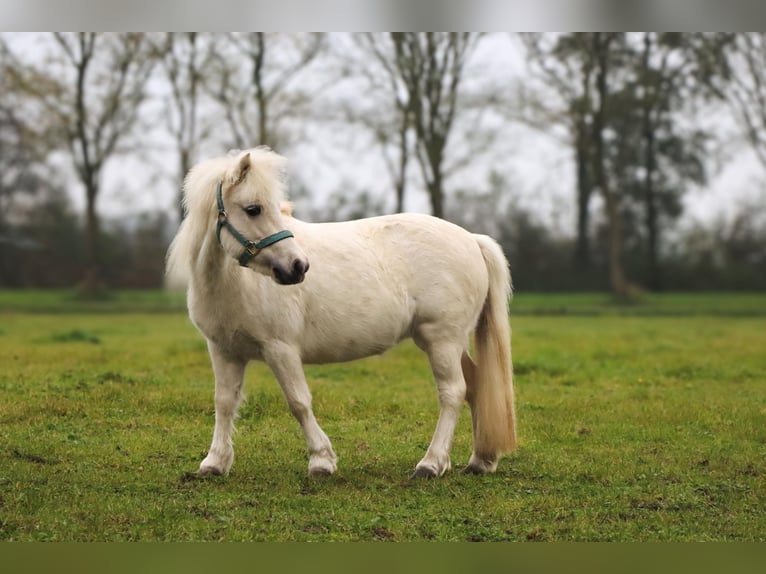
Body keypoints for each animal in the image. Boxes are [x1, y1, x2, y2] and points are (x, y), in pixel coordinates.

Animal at [166, 148, 520, 482]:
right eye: (253, 209)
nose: (298, 267)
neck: (236, 283)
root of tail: (472, 239)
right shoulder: (224, 350)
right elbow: (224, 402)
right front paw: (214, 463)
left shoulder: (280, 349)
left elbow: (298, 402)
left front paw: (321, 461)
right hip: (452, 342)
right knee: (475, 386)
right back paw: (481, 460)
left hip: (441, 339)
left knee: (452, 392)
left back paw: (431, 464)